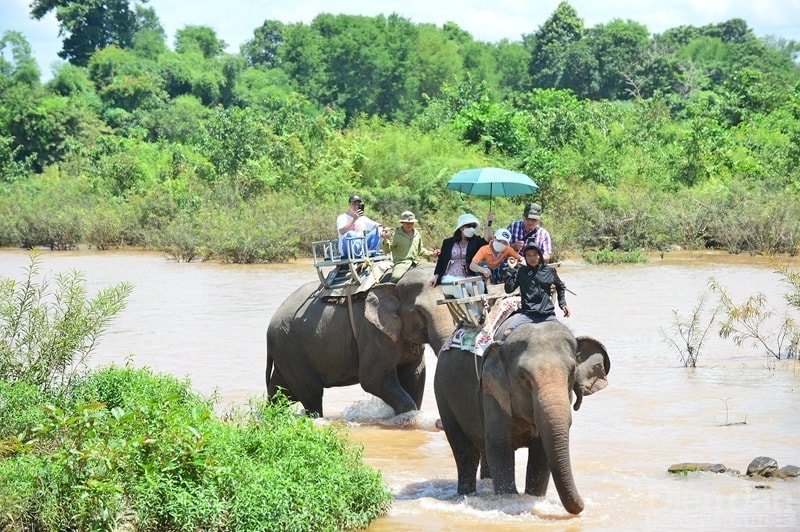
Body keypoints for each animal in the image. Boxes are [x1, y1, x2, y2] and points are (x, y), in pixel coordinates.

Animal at [268, 264, 456, 416]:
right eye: (419, 311)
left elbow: (415, 376)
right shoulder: (372, 332)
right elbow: (372, 379)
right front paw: (406, 416)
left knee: (281, 391)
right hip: (290, 348)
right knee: (311, 392)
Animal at [432, 318, 612, 512]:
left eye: (572, 373)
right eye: (524, 377)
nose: (583, 504)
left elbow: (541, 453)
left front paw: (534, 498)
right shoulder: (492, 392)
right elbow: (500, 448)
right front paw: (510, 500)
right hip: (443, 396)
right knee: (465, 453)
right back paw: (466, 495)